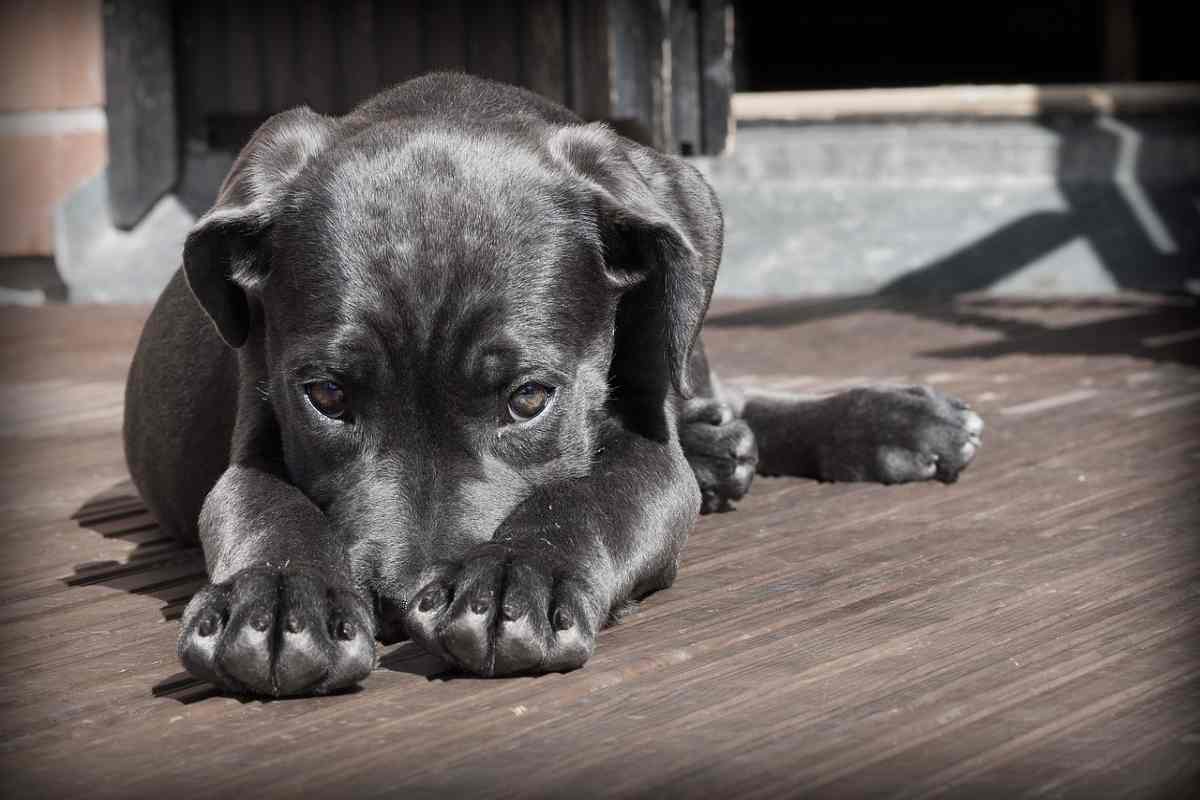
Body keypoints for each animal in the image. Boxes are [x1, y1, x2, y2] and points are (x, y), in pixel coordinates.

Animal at [124, 71, 984, 695]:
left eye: (529, 399)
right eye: (327, 398)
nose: (399, 603)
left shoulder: (647, 452)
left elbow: (592, 495)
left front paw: (516, 578)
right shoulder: (254, 436)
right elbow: (265, 506)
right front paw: (277, 600)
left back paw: (886, 422)